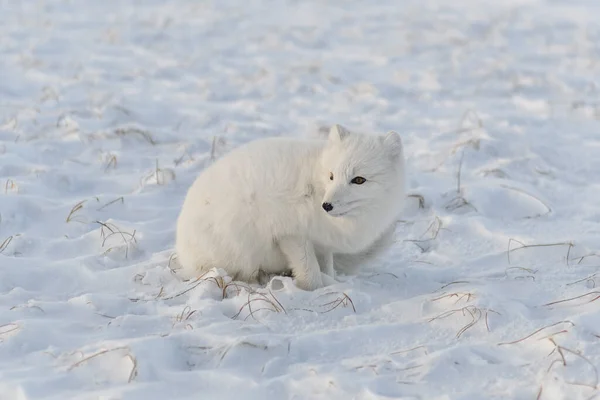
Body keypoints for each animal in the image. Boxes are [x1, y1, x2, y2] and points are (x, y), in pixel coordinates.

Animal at [176, 125, 406, 290]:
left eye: (359, 180)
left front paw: (331, 282)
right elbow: (311, 274)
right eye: (331, 176)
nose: (327, 206)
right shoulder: (291, 234)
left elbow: (326, 267)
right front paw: (317, 290)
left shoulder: (322, 243)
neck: (315, 186)